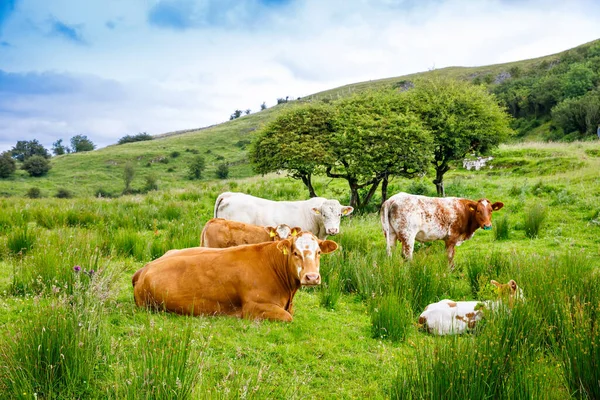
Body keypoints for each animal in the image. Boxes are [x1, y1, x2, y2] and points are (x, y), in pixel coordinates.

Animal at [131, 231, 338, 322]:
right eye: (295, 253)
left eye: (319, 252)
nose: (312, 277)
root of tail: (144, 269)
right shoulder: (254, 307)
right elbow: (288, 317)